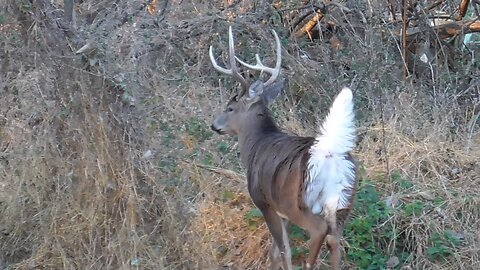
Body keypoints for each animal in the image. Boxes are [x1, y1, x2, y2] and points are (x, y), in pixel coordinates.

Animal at [209, 25, 356, 270]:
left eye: (229, 108)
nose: (214, 125)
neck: (256, 145)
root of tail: (330, 155)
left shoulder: (265, 201)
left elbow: (283, 249)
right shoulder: (282, 213)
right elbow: (274, 252)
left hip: (300, 202)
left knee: (319, 231)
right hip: (344, 204)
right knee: (336, 242)